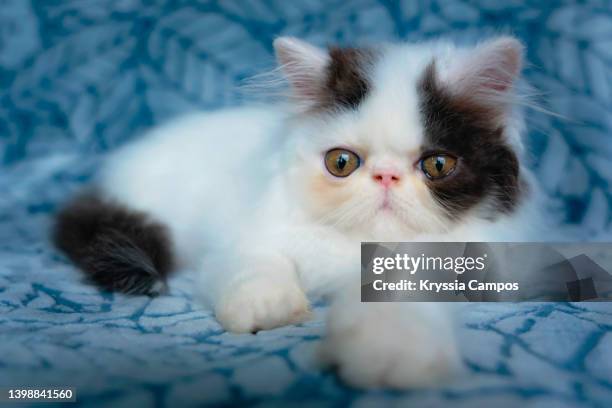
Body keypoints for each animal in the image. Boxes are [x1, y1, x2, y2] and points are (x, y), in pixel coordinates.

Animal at [52, 35, 540, 388]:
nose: (385, 176)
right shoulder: (246, 236)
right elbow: (258, 266)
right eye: (341, 163)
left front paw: (389, 354)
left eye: (437, 165)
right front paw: (269, 309)